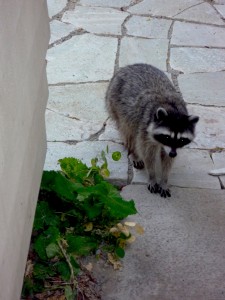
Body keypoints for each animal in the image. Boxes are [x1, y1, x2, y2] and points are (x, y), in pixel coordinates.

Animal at [105, 63, 199, 197]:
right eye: (167, 137)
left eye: (181, 140)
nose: (173, 153)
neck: (172, 109)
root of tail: (128, 66)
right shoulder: (145, 130)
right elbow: (148, 155)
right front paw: (152, 176)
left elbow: (167, 160)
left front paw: (164, 180)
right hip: (116, 104)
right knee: (128, 131)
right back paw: (133, 152)